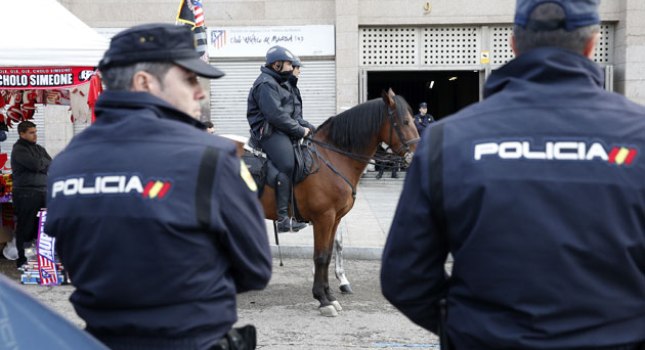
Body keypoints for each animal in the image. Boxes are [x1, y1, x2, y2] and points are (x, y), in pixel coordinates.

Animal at [260, 89, 420, 316]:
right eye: (405, 121)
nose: (418, 154)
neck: (332, 157)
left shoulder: (334, 219)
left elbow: (328, 254)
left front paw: (329, 295)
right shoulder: (323, 218)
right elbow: (320, 256)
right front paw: (322, 299)